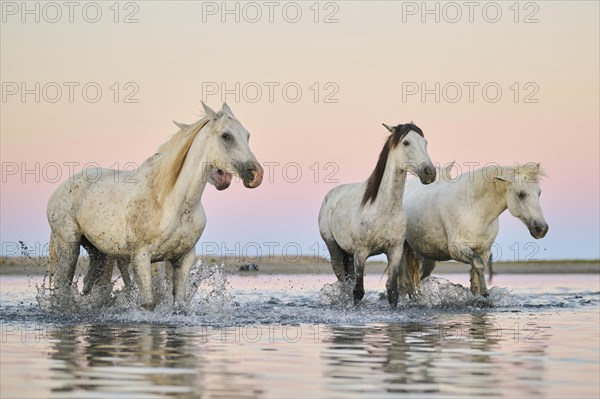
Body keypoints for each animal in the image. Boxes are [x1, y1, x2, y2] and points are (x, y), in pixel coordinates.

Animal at [47, 101, 262, 310]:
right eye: (226, 136)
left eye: (248, 135)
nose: (256, 175)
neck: (174, 204)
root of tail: (60, 189)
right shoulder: (141, 257)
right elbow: (149, 303)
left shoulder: (184, 259)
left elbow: (179, 303)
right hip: (69, 245)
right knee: (63, 284)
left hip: (98, 252)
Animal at [318, 123, 436, 308]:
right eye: (406, 142)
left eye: (425, 143)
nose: (429, 172)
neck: (383, 209)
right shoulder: (361, 253)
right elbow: (358, 292)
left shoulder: (395, 252)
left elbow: (393, 292)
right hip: (334, 250)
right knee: (344, 284)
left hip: (348, 254)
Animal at [400, 162, 548, 296]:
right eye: (521, 194)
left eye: (539, 193)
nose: (541, 229)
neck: (475, 209)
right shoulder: (457, 249)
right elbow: (479, 264)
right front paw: (485, 293)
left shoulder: (484, 250)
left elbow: (476, 274)